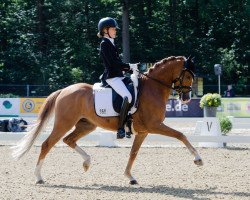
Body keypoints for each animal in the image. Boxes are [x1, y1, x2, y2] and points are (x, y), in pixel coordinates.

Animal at [12, 55, 203, 184]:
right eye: (188, 76)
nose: (186, 99)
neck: (153, 87)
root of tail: (64, 90)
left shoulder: (143, 131)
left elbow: (133, 153)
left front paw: (129, 176)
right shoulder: (154, 125)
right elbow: (180, 135)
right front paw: (198, 159)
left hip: (86, 125)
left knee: (69, 140)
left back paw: (87, 162)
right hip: (64, 123)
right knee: (47, 144)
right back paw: (38, 177)